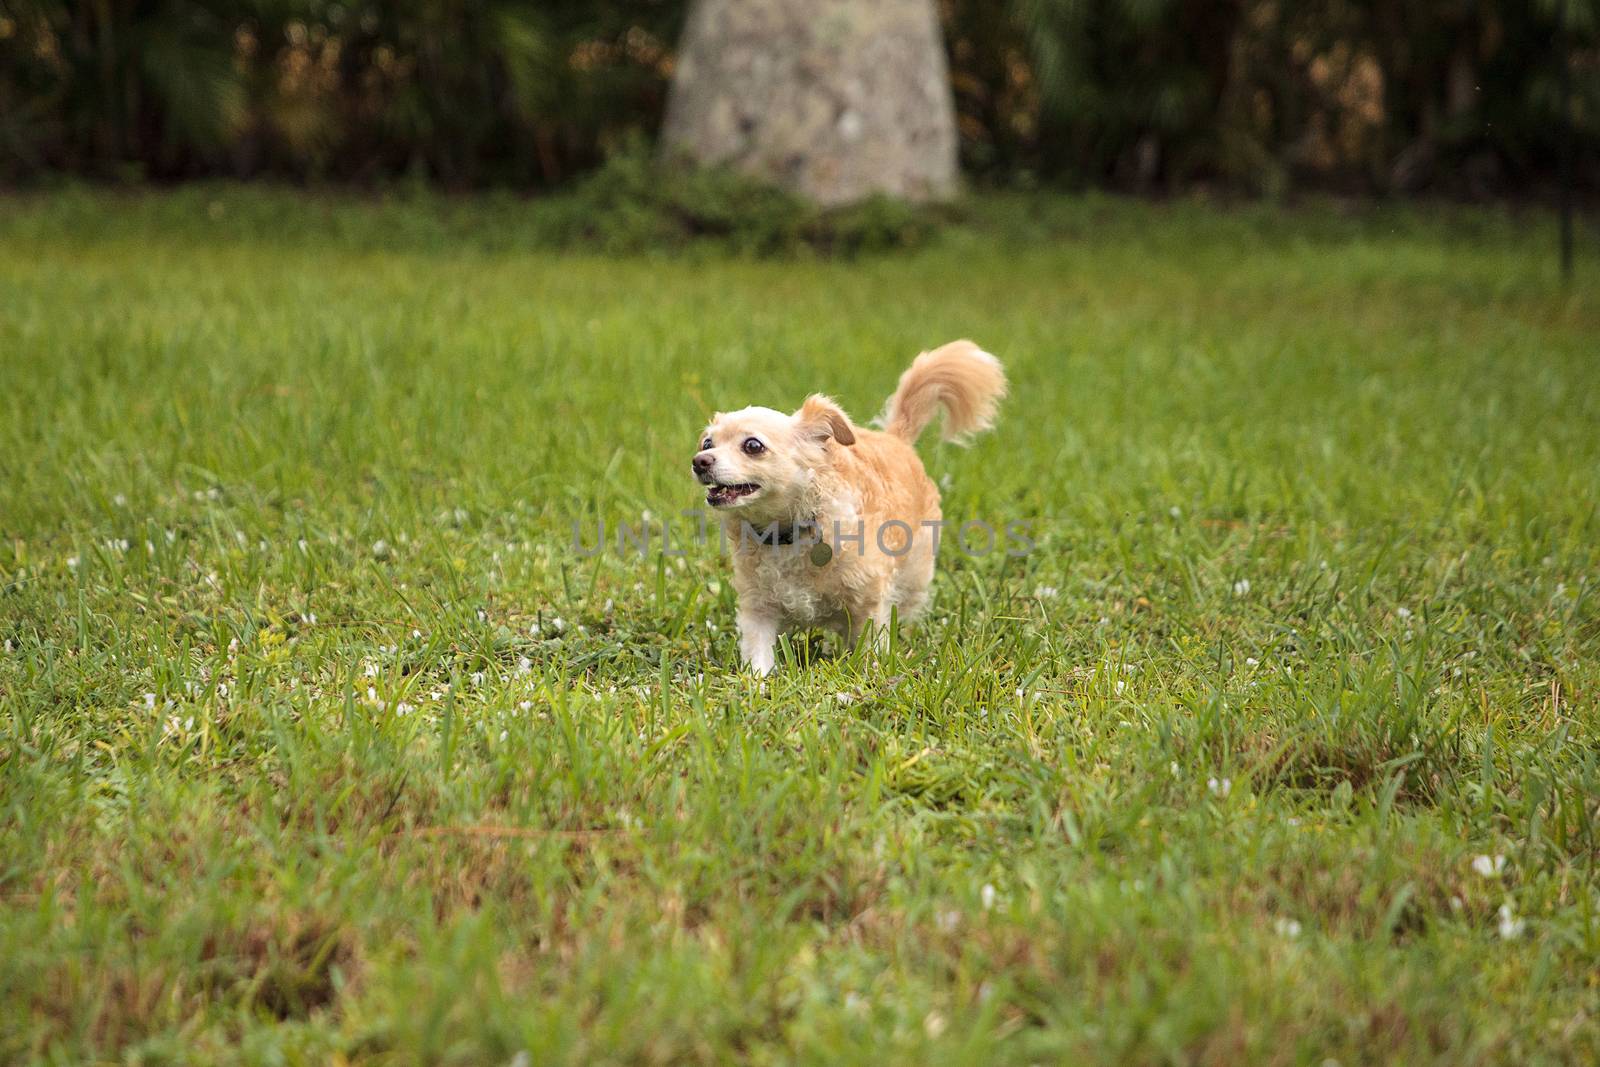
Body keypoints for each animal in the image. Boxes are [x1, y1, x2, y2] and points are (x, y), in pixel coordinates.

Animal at [694, 342, 1004, 675]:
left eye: (753, 446)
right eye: (707, 443)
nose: (699, 461)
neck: (790, 531)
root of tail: (895, 438)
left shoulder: (868, 601)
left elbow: (871, 645)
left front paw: (870, 674)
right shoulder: (758, 607)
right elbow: (757, 652)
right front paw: (758, 681)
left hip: (914, 573)